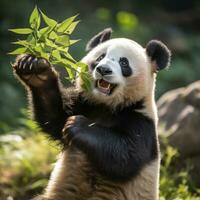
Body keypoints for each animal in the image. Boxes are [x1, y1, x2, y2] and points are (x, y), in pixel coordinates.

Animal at [12, 28, 170, 200]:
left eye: (124, 63)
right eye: (100, 57)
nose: (103, 70)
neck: (107, 106)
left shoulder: (141, 122)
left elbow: (126, 157)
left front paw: (77, 125)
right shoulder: (85, 104)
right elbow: (55, 118)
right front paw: (35, 69)